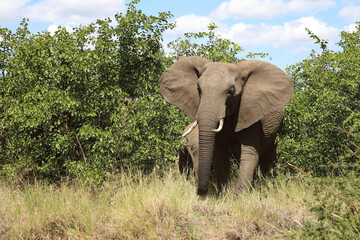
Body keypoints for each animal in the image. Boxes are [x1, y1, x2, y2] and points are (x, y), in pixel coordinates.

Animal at [160, 56, 292, 195]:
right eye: (198, 89)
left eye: (231, 91)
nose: (199, 191)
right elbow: (220, 155)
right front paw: (224, 194)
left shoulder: (251, 114)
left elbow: (249, 153)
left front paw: (240, 196)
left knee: (266, 159)